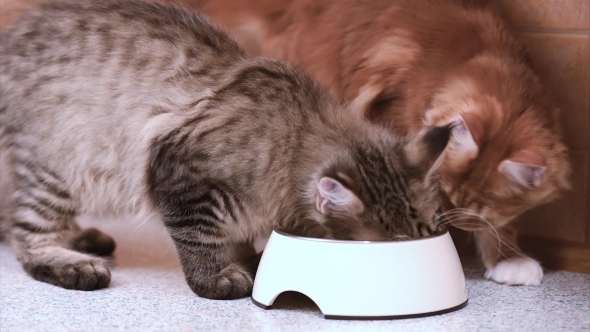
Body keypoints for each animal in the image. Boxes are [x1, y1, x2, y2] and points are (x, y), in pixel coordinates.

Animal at [1, 0, 454, 300]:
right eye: (392, 248)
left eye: (428, 234)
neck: (291, 139)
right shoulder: (179, 174)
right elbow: (200, 240)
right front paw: (217, 278)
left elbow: (236, 238)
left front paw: (249, 260)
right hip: (56, 165)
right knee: (28, 238)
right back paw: (72, 262)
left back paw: (80, 236)